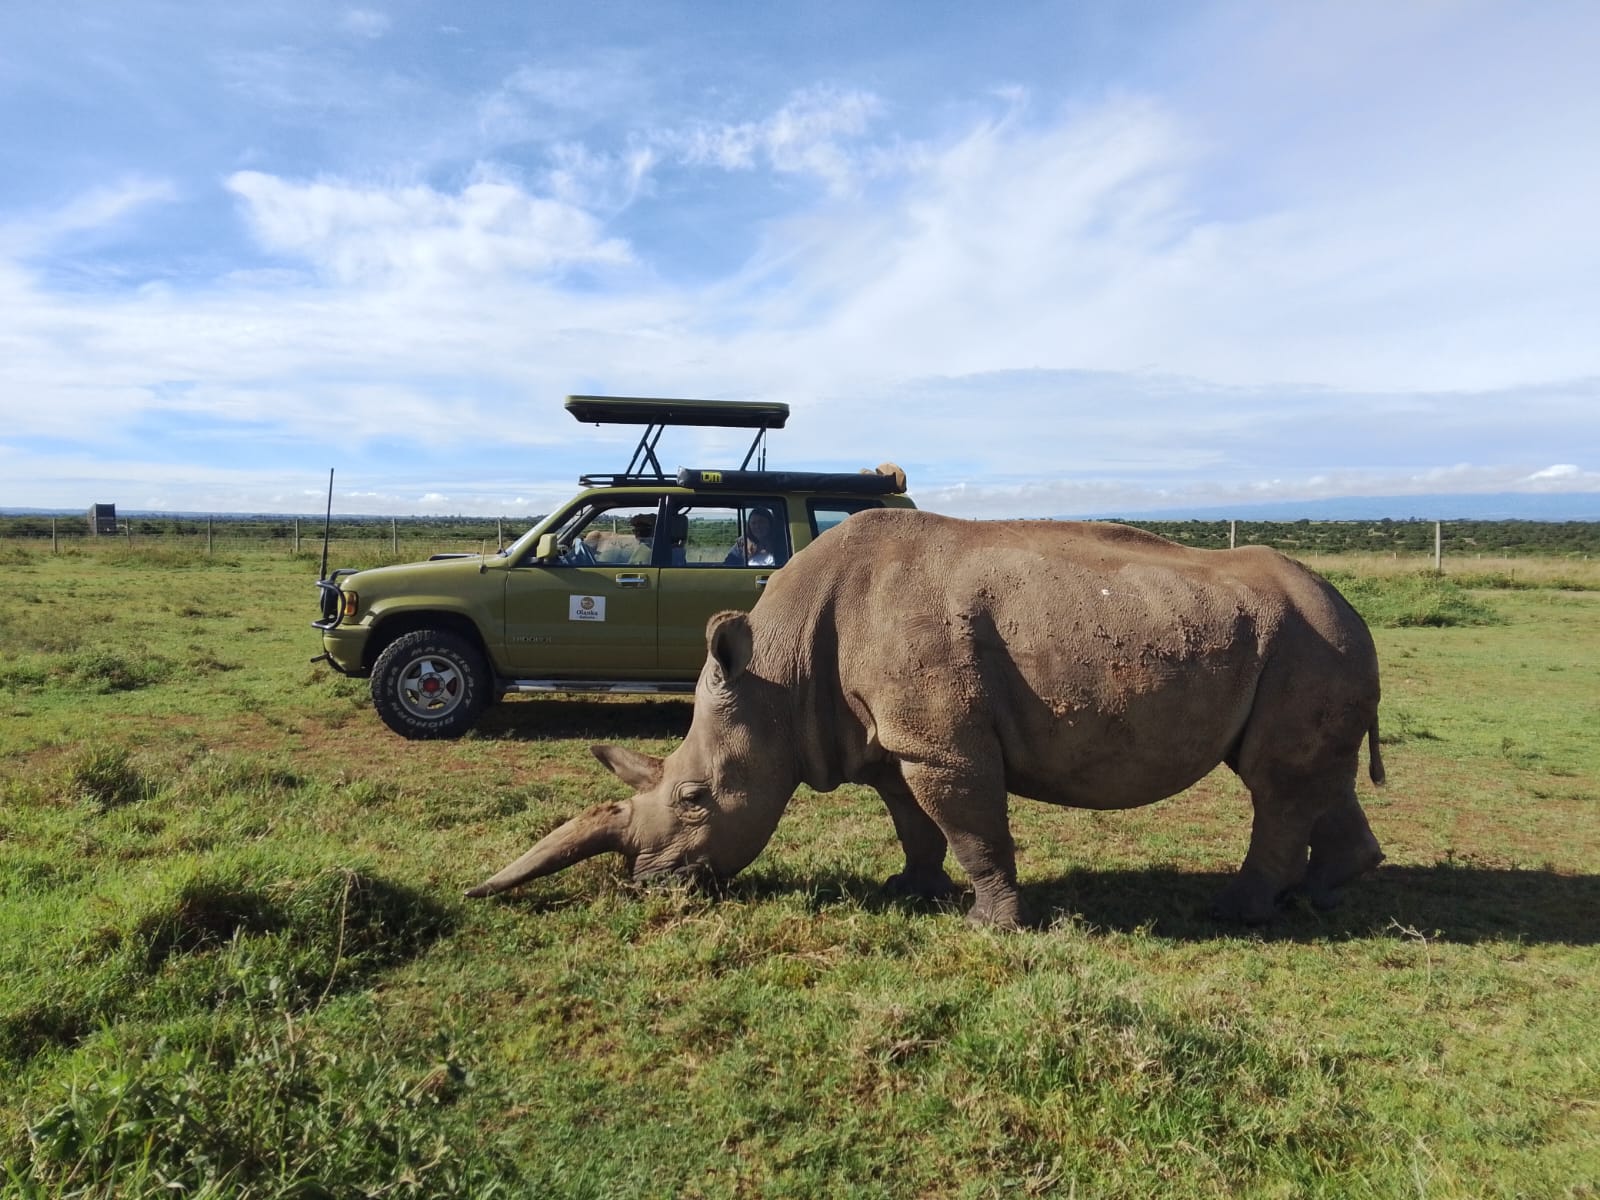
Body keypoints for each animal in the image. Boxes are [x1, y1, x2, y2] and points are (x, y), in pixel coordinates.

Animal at [469, 510, 1386, 927]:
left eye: (695, 798)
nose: (650, 886)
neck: (776, 672)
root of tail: (1351, 607)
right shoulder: (887, 740)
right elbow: (915, 821)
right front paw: (908, 890)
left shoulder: (941, 744)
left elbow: (973, 825)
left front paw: (991, 926)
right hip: (1308, 642)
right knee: (1308, 776)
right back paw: (1323, 892)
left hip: (1305, 640)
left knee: (1275, 783)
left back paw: (1238, 913)